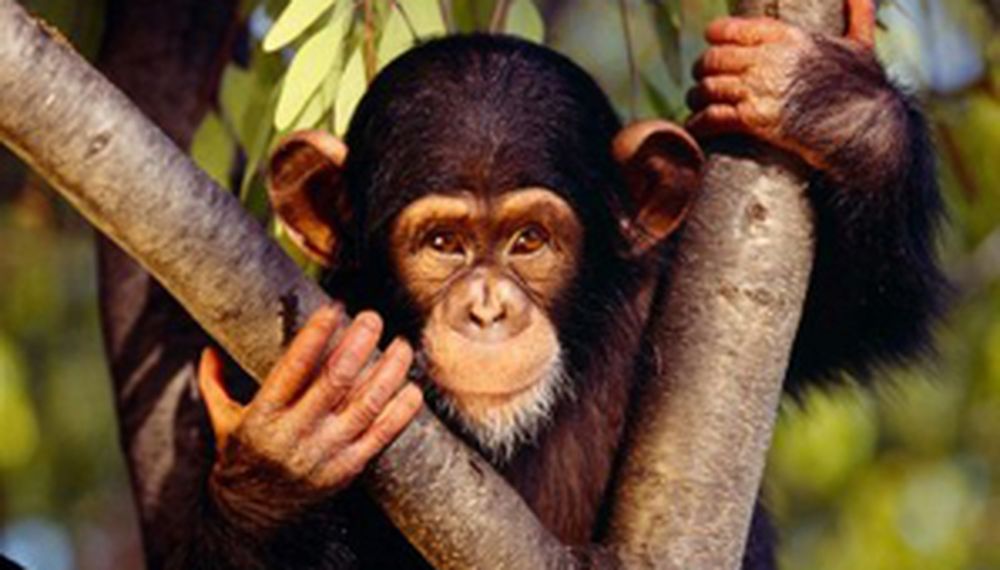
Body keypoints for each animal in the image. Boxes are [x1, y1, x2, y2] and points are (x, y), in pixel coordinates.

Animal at [156, 1, 948, 568]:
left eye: (529, 240)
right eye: (442, 244)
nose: (487, 309)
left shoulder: (670, 283)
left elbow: (861, 310)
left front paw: (829, 102)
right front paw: (287, 458)